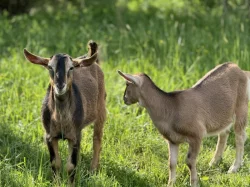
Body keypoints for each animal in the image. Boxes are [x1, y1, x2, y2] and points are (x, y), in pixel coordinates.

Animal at [23, 41, 106, 186]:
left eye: (71, 68)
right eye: (50, 67)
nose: (60, 85)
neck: (61, 120)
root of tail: (90, 57)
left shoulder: (75, 137)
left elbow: (71, 166)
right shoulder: (49, 135)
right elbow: (55, 163)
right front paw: (56, 183)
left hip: (101, 108)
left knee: (97, 139)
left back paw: (93, 170)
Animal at [118, 62, 249, 186]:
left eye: (127, 84)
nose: (124, 99)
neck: (171, 109)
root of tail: (240, 70)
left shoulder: (196, 135)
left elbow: (190, 161)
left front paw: (194, 183)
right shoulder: (172, 140)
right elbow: (171, 163)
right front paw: (170, 184)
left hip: (241, 105)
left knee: (240, 136)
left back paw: (234, 168)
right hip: (224, 114)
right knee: (224, 132)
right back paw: (213, 162)